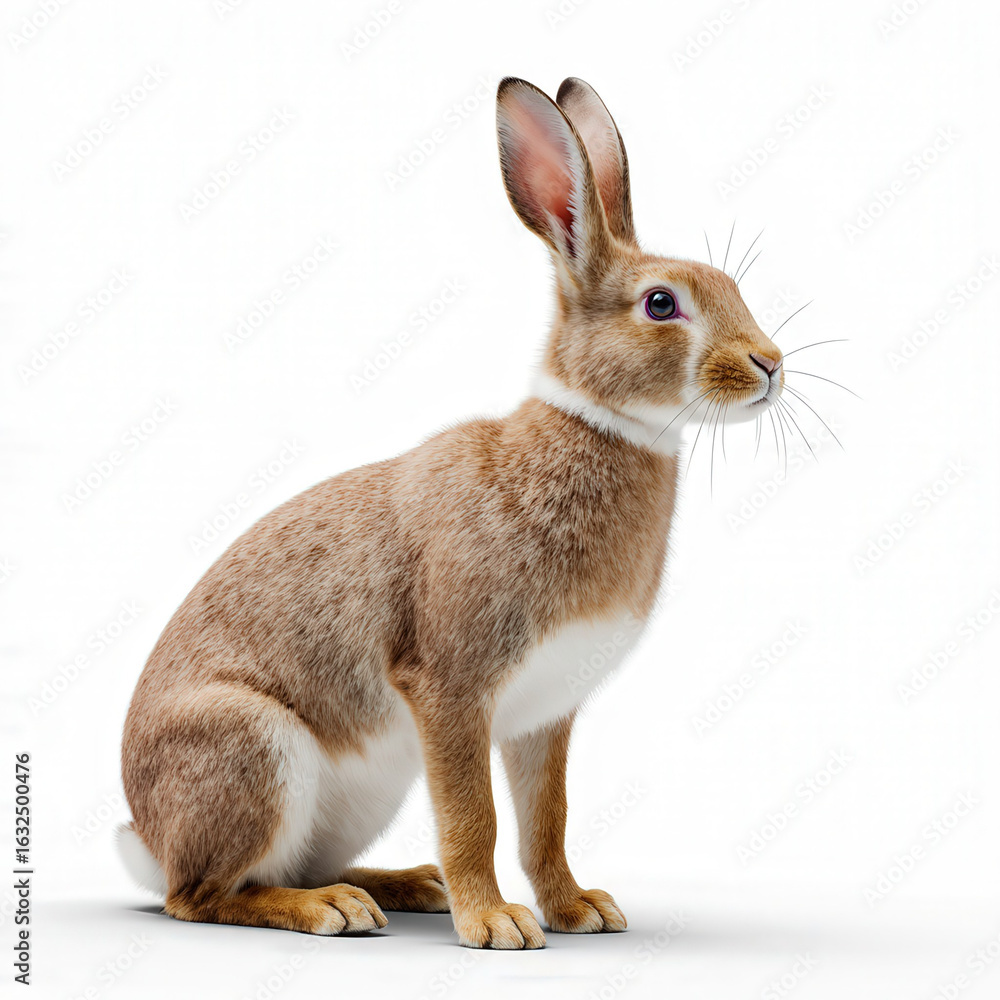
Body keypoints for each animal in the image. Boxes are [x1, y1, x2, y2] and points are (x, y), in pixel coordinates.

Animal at [118, 76, 784, 950]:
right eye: (661, 304)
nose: (769, 365)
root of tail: (143, 837)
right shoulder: (452, 686)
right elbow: (475, 818)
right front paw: (497, 925)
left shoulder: (545, 713)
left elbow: (546, 820)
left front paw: (577, 910)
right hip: (252, 750)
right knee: (200, 895)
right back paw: (331, 910)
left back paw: (399, 887)